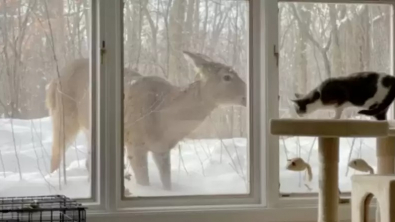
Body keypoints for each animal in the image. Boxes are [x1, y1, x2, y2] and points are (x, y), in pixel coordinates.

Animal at [44, 51, 246, 190]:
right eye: (226, 77)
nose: (246, 94)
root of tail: (52, 80)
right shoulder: (134, 142)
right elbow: (144, 182)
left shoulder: (162, 149)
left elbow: (167, 184)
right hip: (63, 116)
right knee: (55, 155)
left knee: (87, 162)